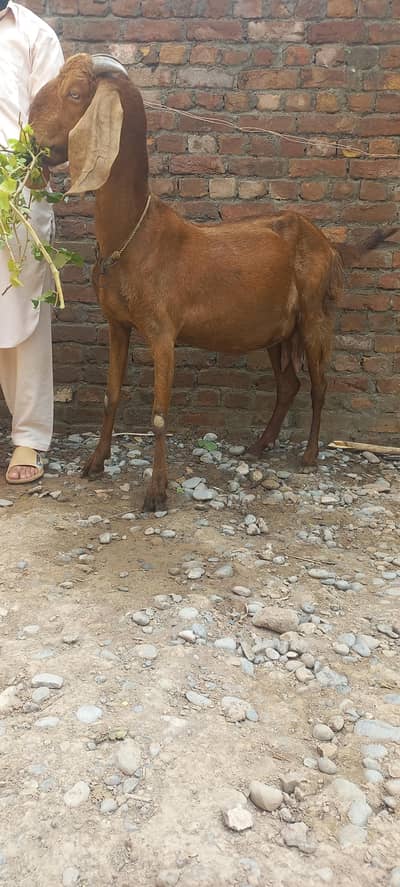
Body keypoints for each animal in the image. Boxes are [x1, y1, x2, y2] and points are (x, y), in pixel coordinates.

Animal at [29, 53, 397, 512]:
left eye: (76, 93)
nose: (29, 139)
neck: (134, 234)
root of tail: (329, 242)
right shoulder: (117, 324)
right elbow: (111, 395)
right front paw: (94, 464)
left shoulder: (162, 333)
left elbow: (158, 413)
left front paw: (157, 492)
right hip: (278, 330)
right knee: (289, 383)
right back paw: (259, 446)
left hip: (316, 314)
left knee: (318, 383)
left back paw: (309, 456)